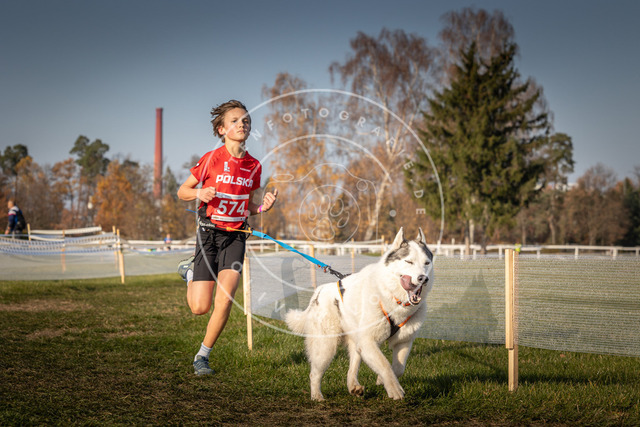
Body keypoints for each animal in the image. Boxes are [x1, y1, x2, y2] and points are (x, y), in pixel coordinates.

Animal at [284, 227, 434, 400]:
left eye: (427, 263)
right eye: (409, 262)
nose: (423, 278)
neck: (392, 298)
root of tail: (318, 291)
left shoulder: (403, 342)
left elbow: (398, 368)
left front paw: (382, 380)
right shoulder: (368, 341)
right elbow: (384, 364)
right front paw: (394, 389)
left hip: (355, 343)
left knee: (352, 368)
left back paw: (353, 386)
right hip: (326, 347)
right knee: (314, 373)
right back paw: (317, 396)